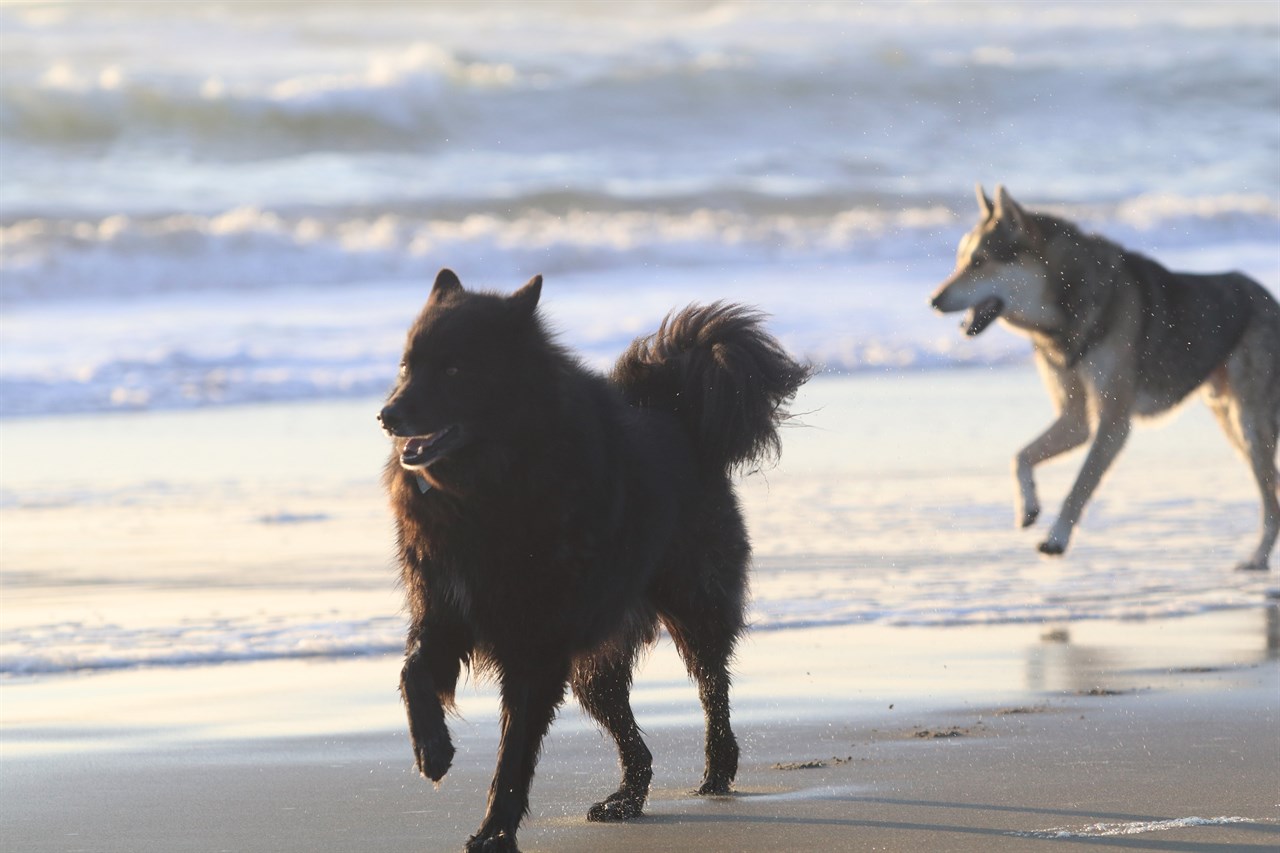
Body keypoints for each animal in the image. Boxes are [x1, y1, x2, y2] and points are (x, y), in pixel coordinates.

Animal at [373, 268, 808, 845]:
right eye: (406, 365)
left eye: (454, 368)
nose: (387, 415)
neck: (487, 487)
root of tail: (676, 414)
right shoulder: (445, 610)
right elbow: (412, 674)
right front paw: (433, 751)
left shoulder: (535, 645)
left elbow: (514, 751)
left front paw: (496, 830)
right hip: (594, 666)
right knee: (637, 746)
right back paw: (625, 801)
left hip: (693, 608)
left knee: (714, 688)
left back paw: (717, 770)